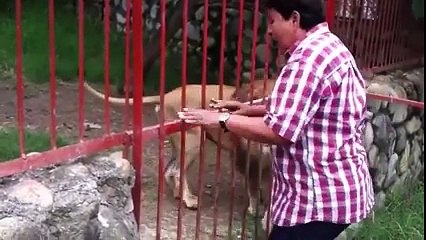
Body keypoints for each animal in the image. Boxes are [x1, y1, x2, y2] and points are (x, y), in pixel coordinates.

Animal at [83, 78, 276, 214]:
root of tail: (168, 94)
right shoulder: (247, 157)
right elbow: (253, 185)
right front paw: (254, 209)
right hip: (194, 142)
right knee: (177, 171)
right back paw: (189, 201)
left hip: (182, 144)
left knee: (169, 170)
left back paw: (179, 195)